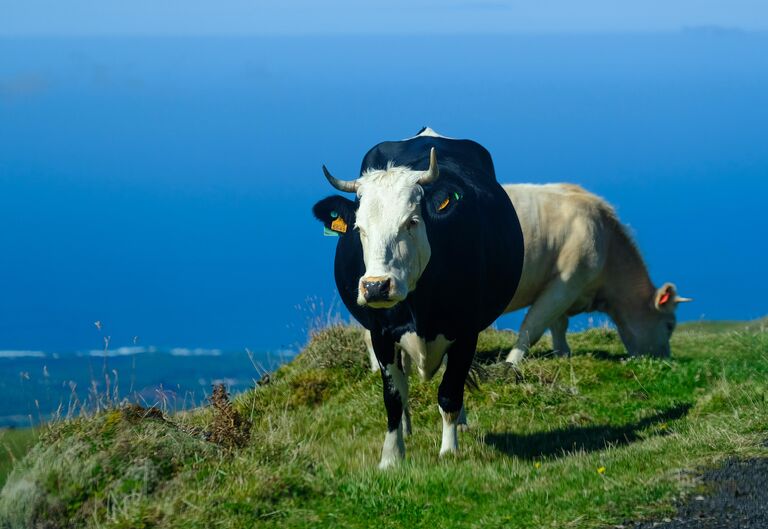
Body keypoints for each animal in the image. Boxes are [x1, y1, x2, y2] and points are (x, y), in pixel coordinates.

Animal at [310, 128, 520, 466]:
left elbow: (450, 391)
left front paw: (449, 450)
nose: (375, 287)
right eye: (359, 228)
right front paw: (391, 457)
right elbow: (394, 395)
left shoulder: (466, 331)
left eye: (411, 221)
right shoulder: (381, 332)